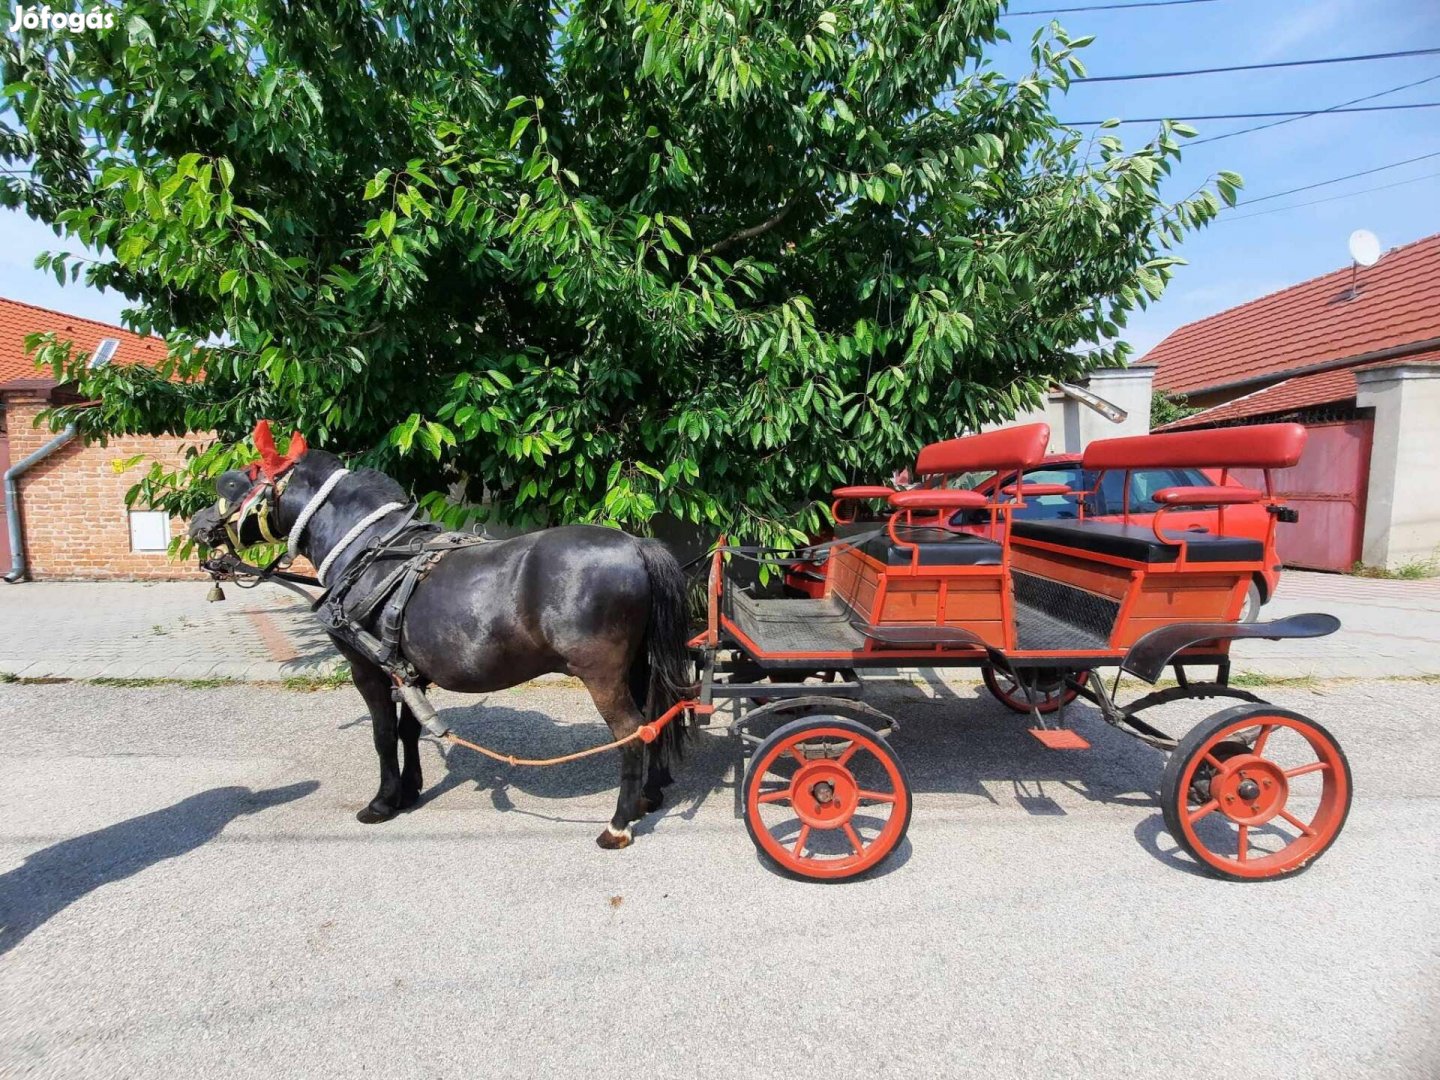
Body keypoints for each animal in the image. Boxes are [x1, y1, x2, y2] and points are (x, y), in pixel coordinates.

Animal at [188, 426, 694, 852]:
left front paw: (382, 801)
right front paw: (410, 789)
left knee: (630, 733)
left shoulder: (366, 668)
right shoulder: (409, 668)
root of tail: (634, 545)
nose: (197, 525)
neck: (370, 553)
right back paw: (648, 796)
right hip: (638, 665)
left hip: (602, 673)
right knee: (656, 718)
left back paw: (618, 825)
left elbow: (383, 733)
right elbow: (409, 728)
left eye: (236, 483)